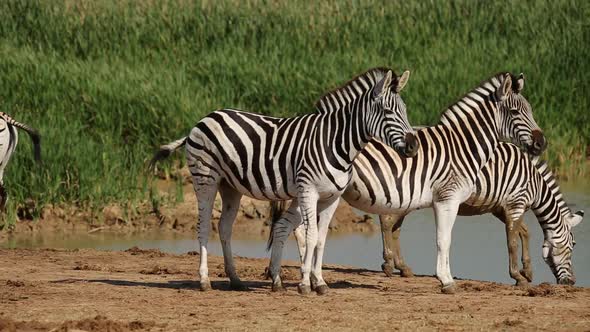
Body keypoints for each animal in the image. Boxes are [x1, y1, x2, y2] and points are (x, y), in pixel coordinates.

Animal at [151, 67, 420, 294]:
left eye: (405, 111)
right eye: (388, 112)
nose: (414, 146)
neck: (335, 142)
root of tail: (204, 118)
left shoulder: (332, 198)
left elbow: (321, 239)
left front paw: (319, 282)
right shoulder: (308, 191)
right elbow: (310, 236)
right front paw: (304, 285)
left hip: (231, 187)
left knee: (224, 227)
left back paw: (235, 280)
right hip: (206, 179)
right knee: (204, 226)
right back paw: (204, 280)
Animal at [266, 72, 548, 294]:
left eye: (531, 110)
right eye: (515, 112)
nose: (542, 143)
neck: (461, 146)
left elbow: (442, 238)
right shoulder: (447, 198)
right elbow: (444, 239)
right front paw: (446, 281)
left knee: (288, 227)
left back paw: (286, 276)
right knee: (301, 229)